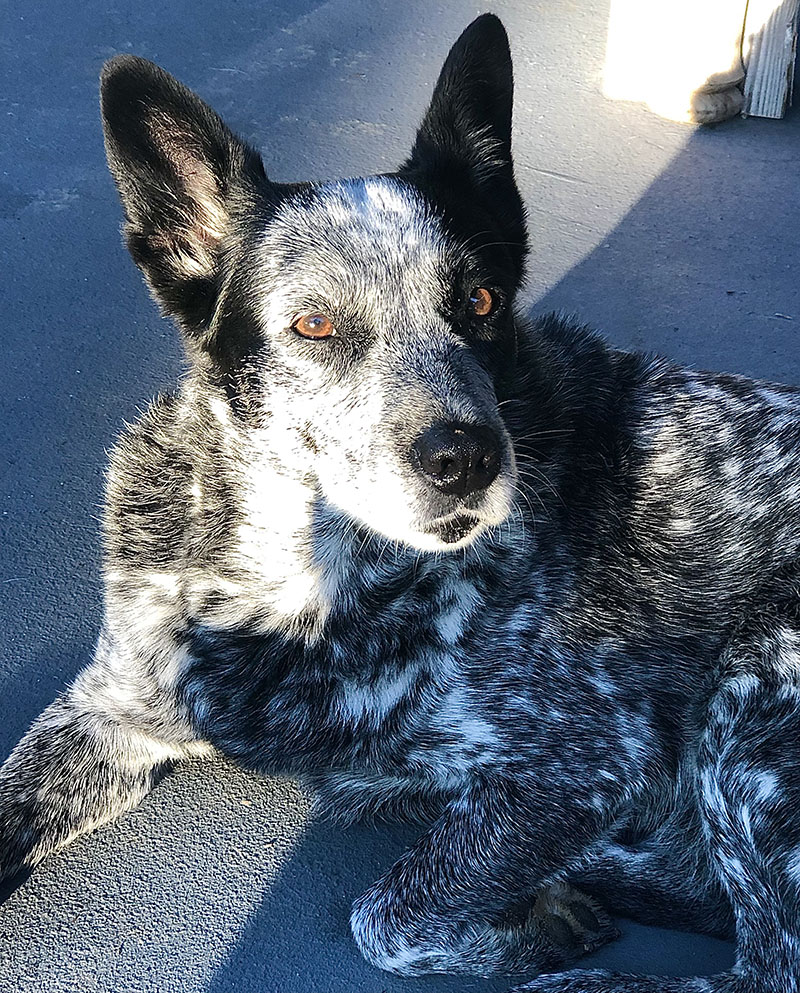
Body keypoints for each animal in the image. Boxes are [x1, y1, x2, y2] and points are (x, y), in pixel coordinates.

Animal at [4, 11, 800, 988]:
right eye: (314, 324)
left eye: (483, 300)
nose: (467, 456)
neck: (304, 590)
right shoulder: (105, 709)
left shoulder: (585, 761)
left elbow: (384, 916)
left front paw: (526, 926)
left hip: (756, 670)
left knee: (766, 963)